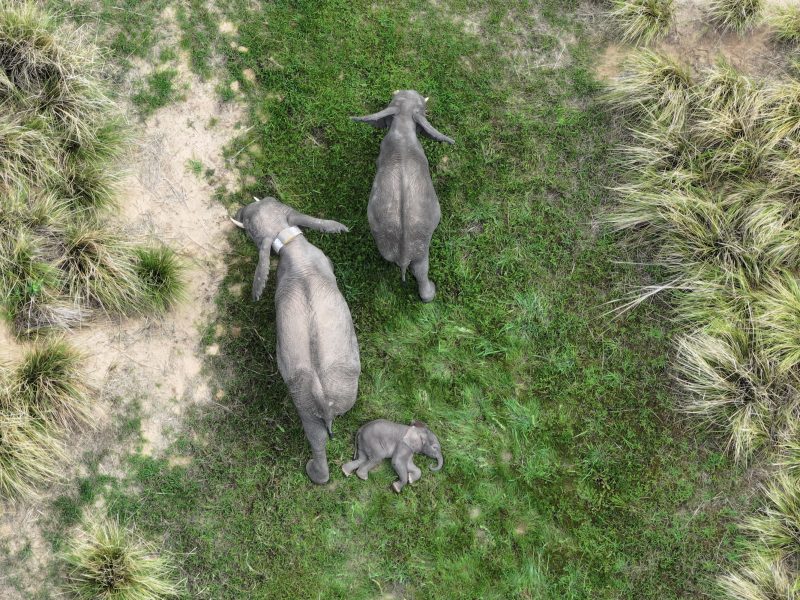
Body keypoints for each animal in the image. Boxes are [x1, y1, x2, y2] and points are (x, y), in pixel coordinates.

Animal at [231, 196, 360, 484]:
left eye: (248, 225)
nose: (237, 211)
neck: (289, 242)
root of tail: (322, 397)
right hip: (310, 399)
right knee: (318, 436)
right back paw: (315, 472)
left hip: (314, 397)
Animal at [352, 90, 454, 302]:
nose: (411, 90)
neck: (404, 124)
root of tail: (404, 255)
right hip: (421, 245)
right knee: (422, 269)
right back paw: (431, 290)